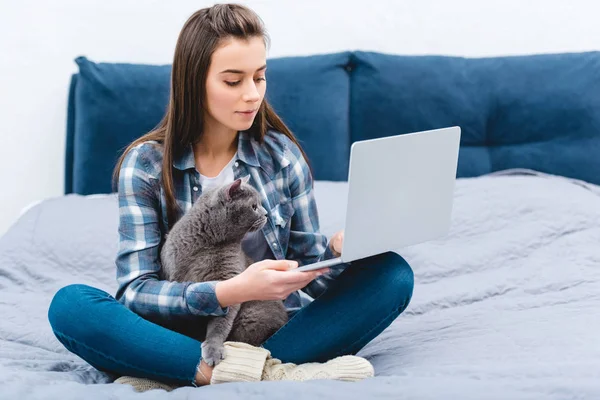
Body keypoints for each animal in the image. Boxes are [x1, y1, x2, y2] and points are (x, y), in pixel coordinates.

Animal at [159, 174, 290, 366]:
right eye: (254, 206)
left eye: (260, 204)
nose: (266, 214)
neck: (207, 245)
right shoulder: (175, 274)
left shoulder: (229, 279)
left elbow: (220, 323)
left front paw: (213, 349)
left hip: (252, 316)